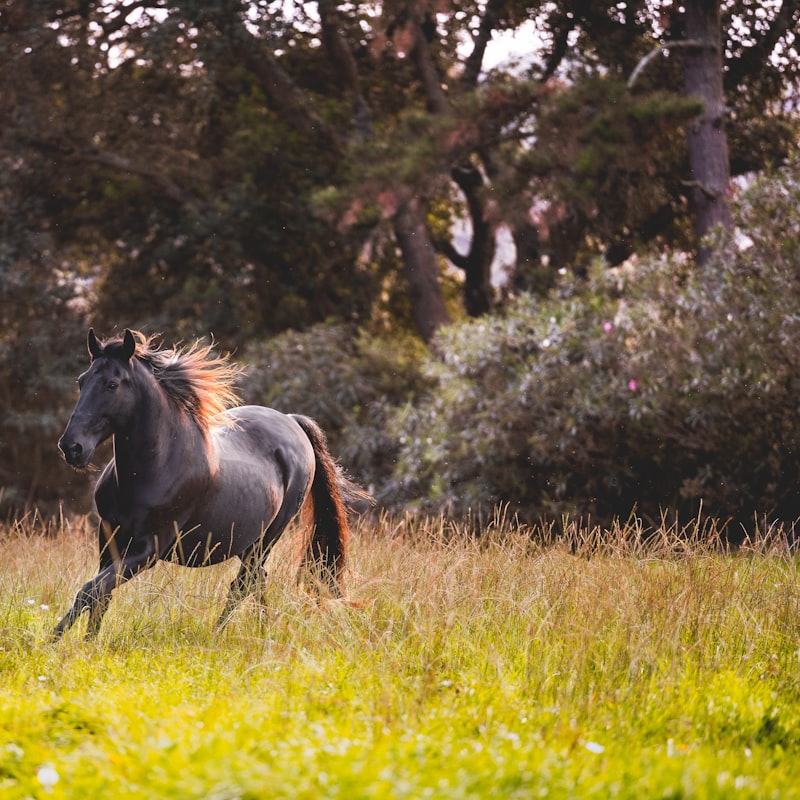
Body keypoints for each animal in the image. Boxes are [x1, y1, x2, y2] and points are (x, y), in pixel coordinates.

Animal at [54, 328, 365, 639]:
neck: (155, 468)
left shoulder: (147, 550)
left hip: (267, 537)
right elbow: (100, 597)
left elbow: (90, 591)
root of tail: (292, 421)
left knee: (244, 583)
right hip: (250, 543)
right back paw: (262, 630)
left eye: (112, 384)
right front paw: (86, 642)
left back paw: (219, 634)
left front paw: (53, 642)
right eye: (82, 381)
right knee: (257, 580)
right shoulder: (109, 540)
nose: (72, 448)